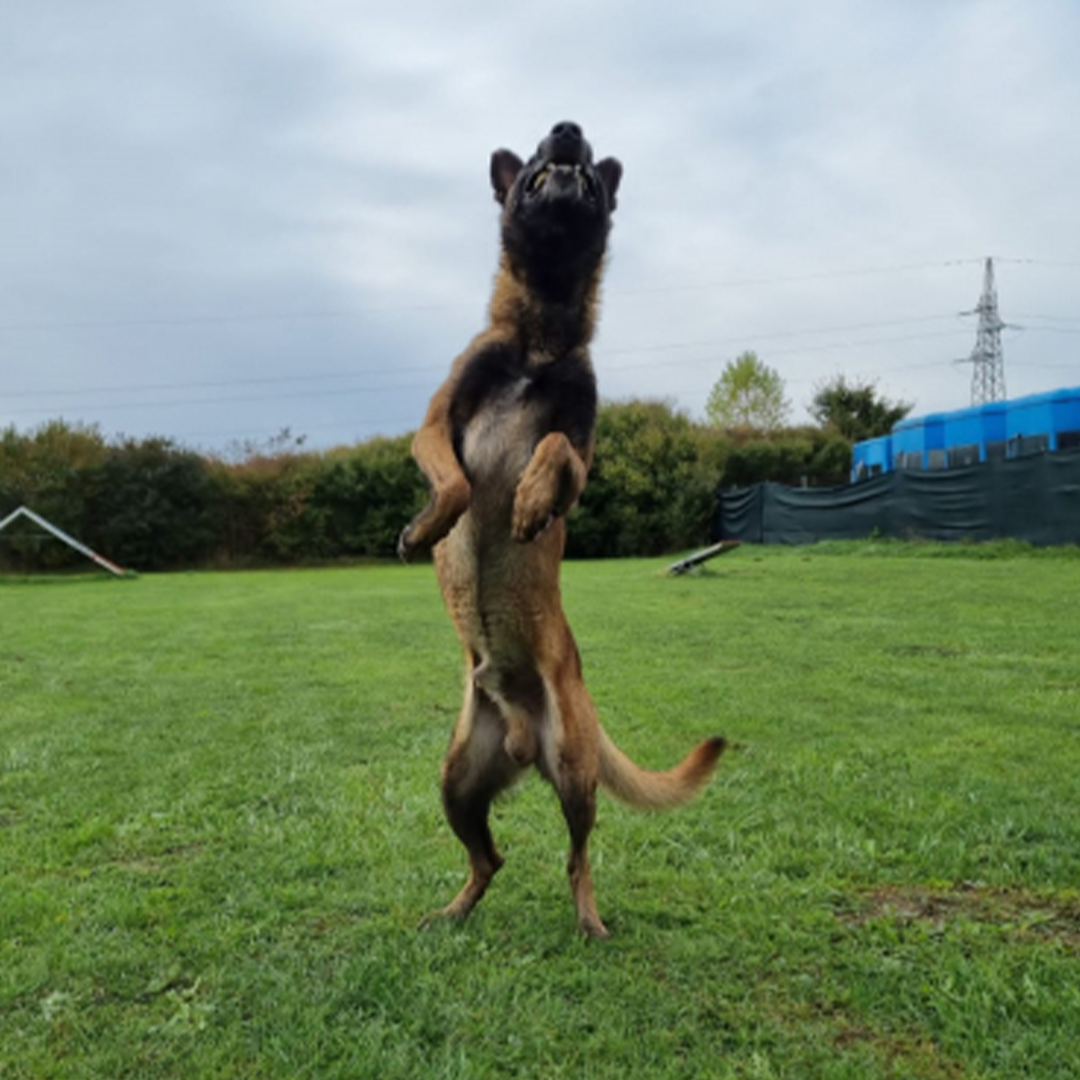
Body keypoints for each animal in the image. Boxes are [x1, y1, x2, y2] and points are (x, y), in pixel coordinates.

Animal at [399, 120, 725, 937]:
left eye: (589, 175)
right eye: (538, 166)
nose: (568, 129)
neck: (539, 336)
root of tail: (520, 729)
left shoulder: (583, 450)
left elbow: (550, 449)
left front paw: (526, 504)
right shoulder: (434, 424)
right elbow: (455, 480)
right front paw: (427, 528)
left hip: (574, 773)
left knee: (575, 859)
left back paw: (589, 921)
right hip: (456, 781)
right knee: (490, 859)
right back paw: (453, 911)